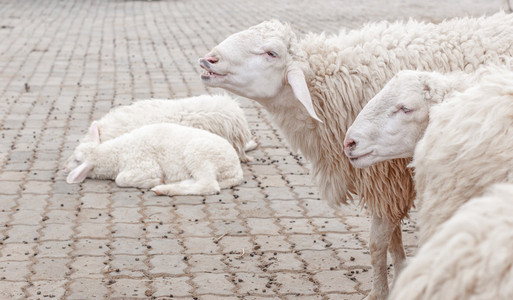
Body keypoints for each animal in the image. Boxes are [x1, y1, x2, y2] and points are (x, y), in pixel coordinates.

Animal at [64, 120, 244, 196]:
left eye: (77, 160)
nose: (64, 168)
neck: (115, 152)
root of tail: (236, 170)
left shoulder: (144, 164)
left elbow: (120, 179)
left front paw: (155, 180)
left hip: (199, 153)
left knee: (208, 185)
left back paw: (163, 189)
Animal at [198, 11, 512, 300]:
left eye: (271, 53)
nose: (208, 60)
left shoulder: (387, 176)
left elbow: (377, 243)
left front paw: (379, 291)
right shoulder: (390, 182)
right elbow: (393, 238)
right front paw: (400, 273)